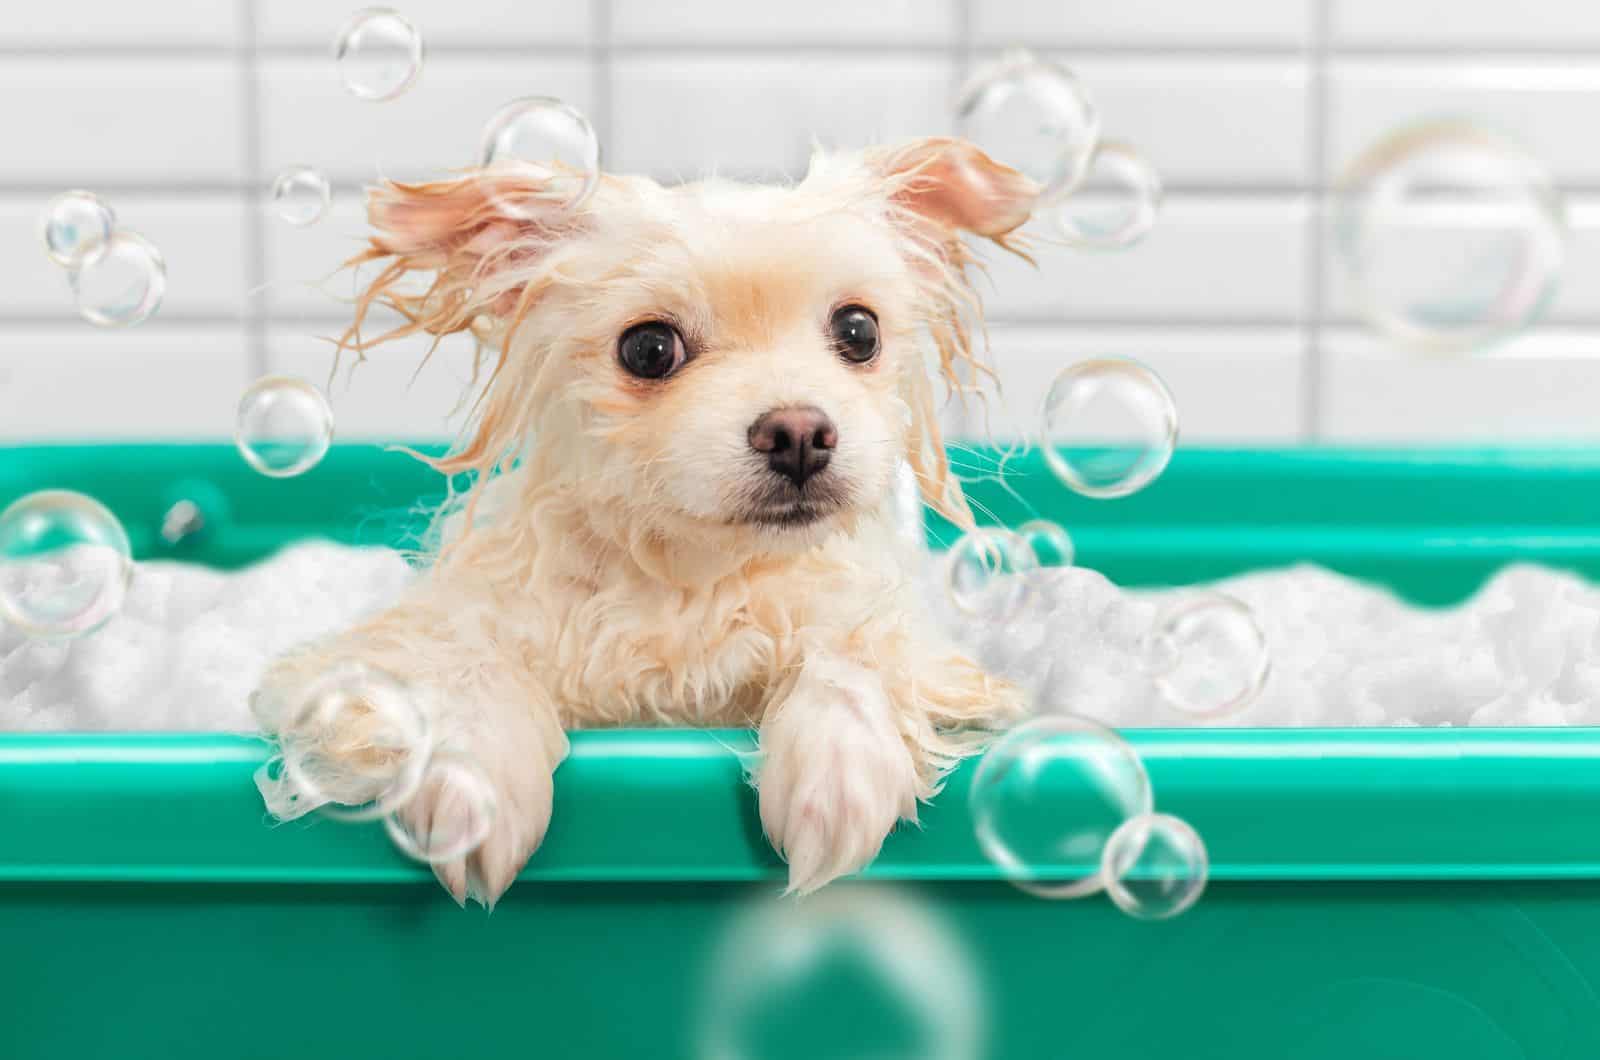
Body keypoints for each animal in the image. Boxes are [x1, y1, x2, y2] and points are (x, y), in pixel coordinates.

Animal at [244, 136, 1030, 909]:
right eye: (649, 349)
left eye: (859, 332)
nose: (800, 434)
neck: (685, 579)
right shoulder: (384, 648)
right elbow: (457, 654)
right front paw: (475, 777)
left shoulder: (902, 642)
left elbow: (855, 644)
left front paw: (841, 761)